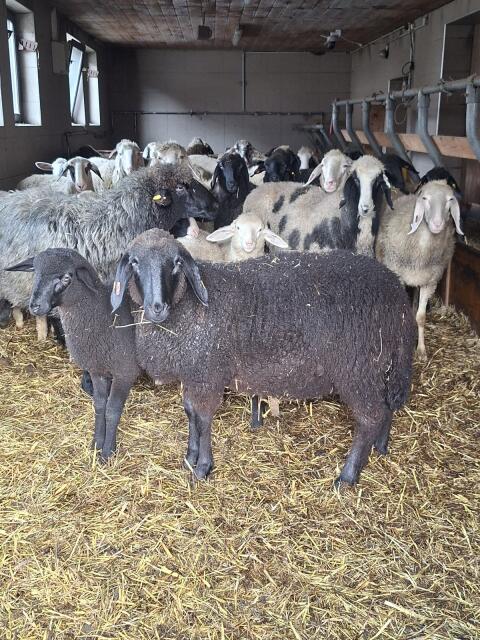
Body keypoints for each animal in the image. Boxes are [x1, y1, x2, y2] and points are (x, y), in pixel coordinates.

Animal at [6, 249, 140, 460]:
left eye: (66, 277)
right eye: (35, 272)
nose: (34, 306)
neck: (102, 313)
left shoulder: (125, 371)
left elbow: (112, 410)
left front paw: (107, 453)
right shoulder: (97, 369)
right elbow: (100, 406)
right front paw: (96, 445)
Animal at [111, 228, 416, 484]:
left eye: (176, 263)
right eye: (135, 262)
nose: (157, 307)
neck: (187, 307)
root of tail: (399, 297)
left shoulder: (208, 373)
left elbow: (203, 419)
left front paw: (202, 467)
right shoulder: (194, 372)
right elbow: (190, 412)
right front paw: (190, 455)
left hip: (358, 369)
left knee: (370, 417)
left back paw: (348, 475)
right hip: (380, 366)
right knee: (386, 407)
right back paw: (380, 447)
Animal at [376, 179, 463, 360]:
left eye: (450, 200)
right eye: (425, 198)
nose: (437, 224)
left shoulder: (430, 282)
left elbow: (421, 317)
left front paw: (421, 350)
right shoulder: (398, 277)